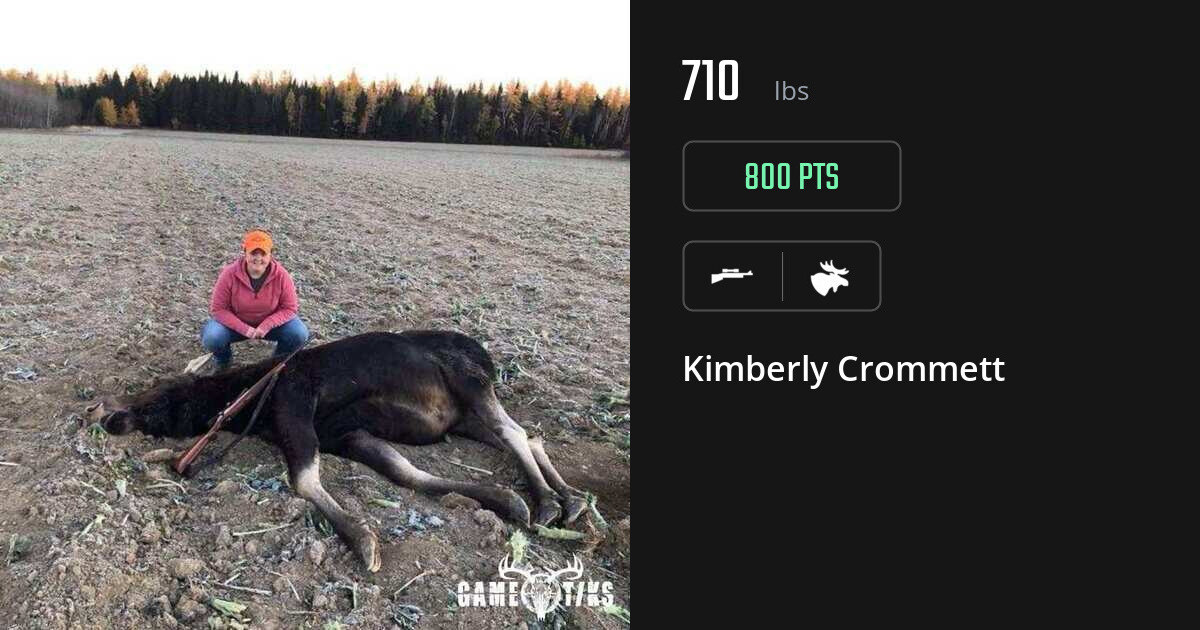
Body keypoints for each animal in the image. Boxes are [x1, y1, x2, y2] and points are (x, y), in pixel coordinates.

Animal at [85, 331, 592, 573]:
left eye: (157, 393)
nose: (100, 410)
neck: (252, 406)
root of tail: (485, 352)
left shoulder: (296, 402)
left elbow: (303, 479)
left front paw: (361, 538)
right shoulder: (346, 435)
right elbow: (406, 475)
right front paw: (501, 498)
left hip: (471, 381)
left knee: (514, 432)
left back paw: (549, 502)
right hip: (464, 416)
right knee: (528, 436)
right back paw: (566, 501)